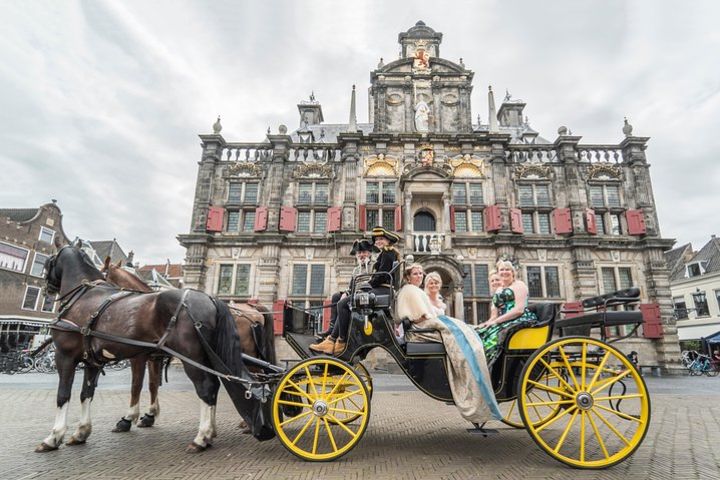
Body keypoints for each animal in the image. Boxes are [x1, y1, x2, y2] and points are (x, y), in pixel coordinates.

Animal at [102, 260, 278, 434]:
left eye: (103, 277)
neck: (146, 308)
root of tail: (255, 310)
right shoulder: (155, 357)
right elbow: (153, 384)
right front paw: (149, 416)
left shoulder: (139, 356)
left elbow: (136, 385)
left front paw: (128, 419)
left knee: (256, 380)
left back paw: (248, 423)